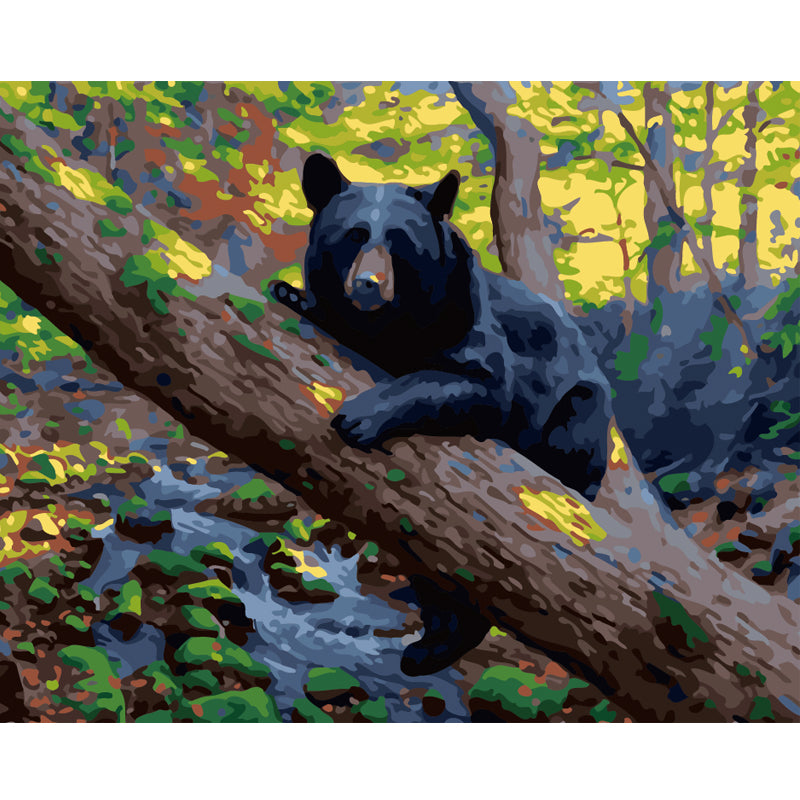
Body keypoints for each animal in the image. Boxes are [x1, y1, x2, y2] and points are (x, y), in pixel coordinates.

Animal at [271, 153, 613, 674]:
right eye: (352, 236)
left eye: (399, 243)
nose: (368, 285)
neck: (391, 323)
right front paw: (289, 293)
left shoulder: (467, 319)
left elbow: (478, 384)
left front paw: (358, 418)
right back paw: (430, 645)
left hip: (582, 409)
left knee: (567, 445)